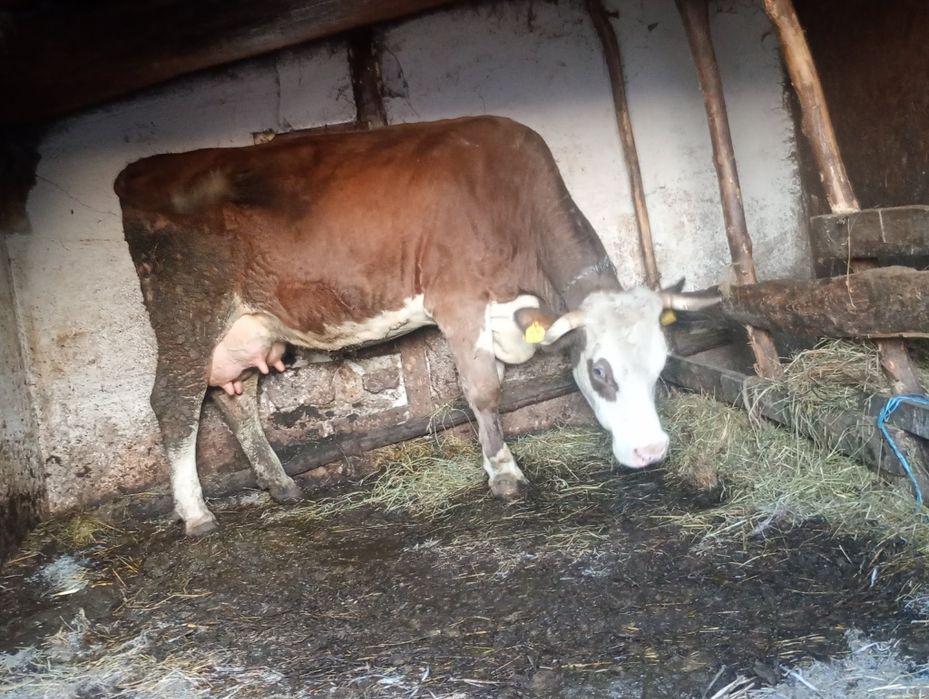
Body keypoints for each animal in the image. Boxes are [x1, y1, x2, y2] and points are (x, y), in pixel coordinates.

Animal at [114, 116, 711, 536]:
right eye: (600, 371)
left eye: (661, 365)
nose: (652, 452)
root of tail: (141, 169)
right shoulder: (458, 300)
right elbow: (484, 390)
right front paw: (504, 474)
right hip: (185, 310)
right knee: (175, 401)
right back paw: (196, 514)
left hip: (251, 324)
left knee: (234, 398)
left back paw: (281, 485)